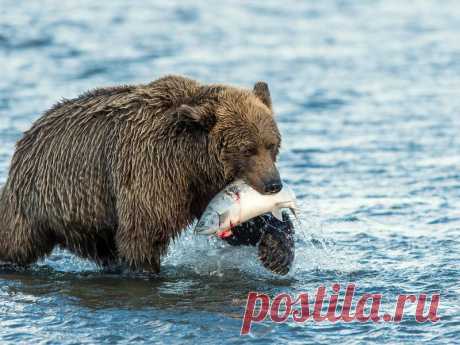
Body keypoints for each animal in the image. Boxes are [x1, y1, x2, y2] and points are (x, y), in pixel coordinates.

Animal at [0, 75, 282, 272]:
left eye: (271, 144)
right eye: (247, 149)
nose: (273, 184)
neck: (192, 161)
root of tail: (28, 135)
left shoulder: (203, 188)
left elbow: (239, 223)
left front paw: (275, 250)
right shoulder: (150, 171)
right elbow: (143, 234)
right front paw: (147, 269)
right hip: (42, 198)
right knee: (15, 241)